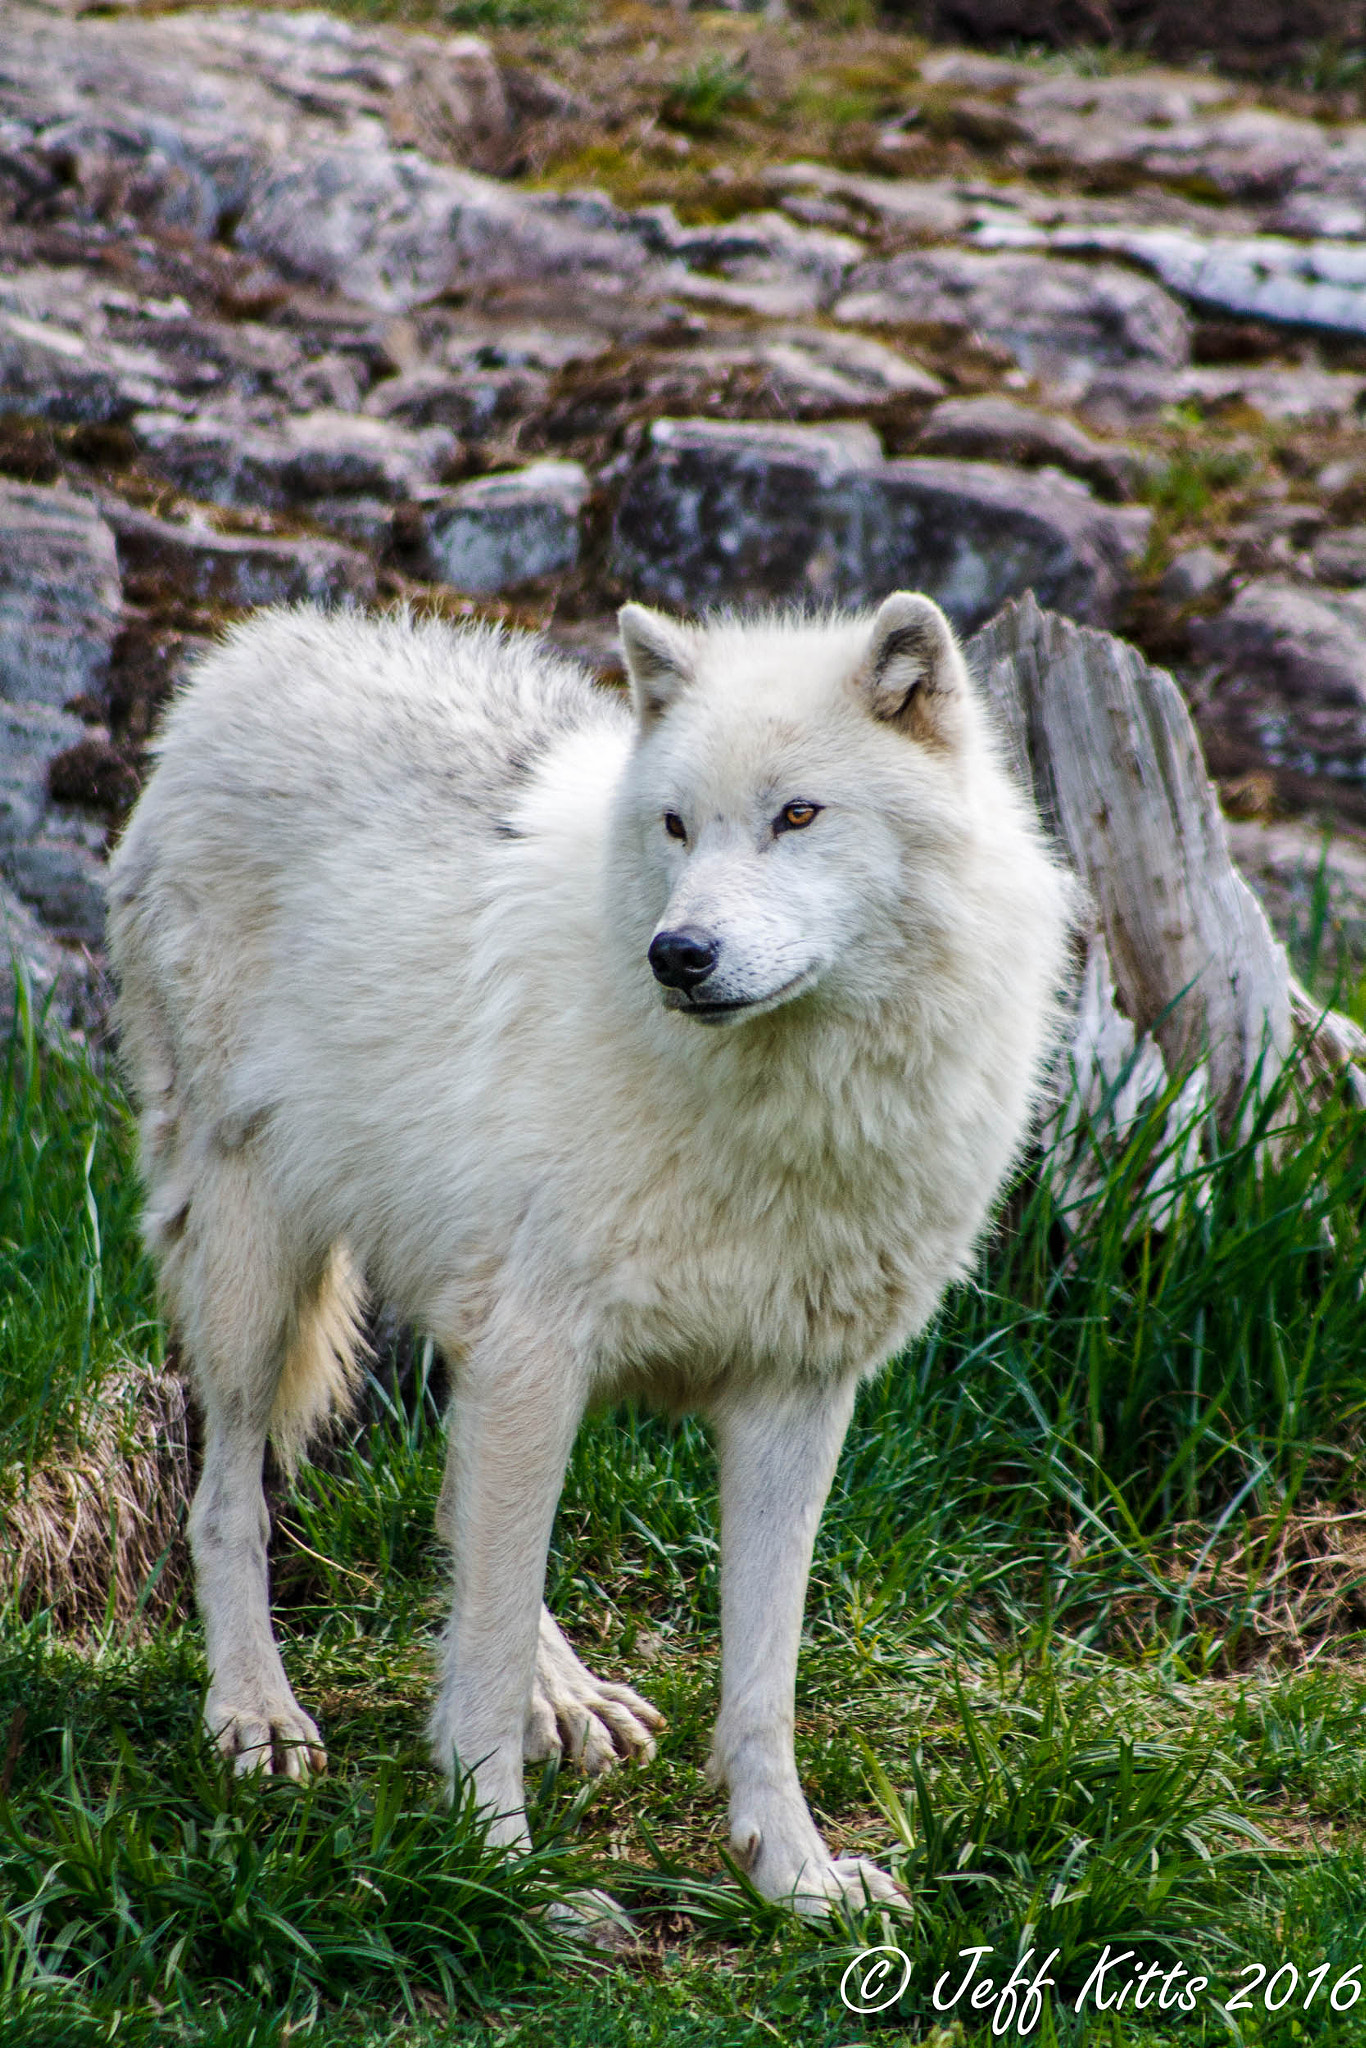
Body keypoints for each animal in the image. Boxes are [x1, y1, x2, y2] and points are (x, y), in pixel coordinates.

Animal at [106, 591, 1071, 1918]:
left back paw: (563, 1694)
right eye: (675, 824)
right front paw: (495, 1871)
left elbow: (761, 1681)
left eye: (798, 814)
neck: (780, 1110)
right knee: (230, 1503)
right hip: (255, 1268)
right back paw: (256, 1713)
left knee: (459, 1513)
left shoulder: (794, 1394)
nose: (680, 953)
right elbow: (479, 1649)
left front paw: (794, 1873)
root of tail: (257, 649)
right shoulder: (537, 1353)